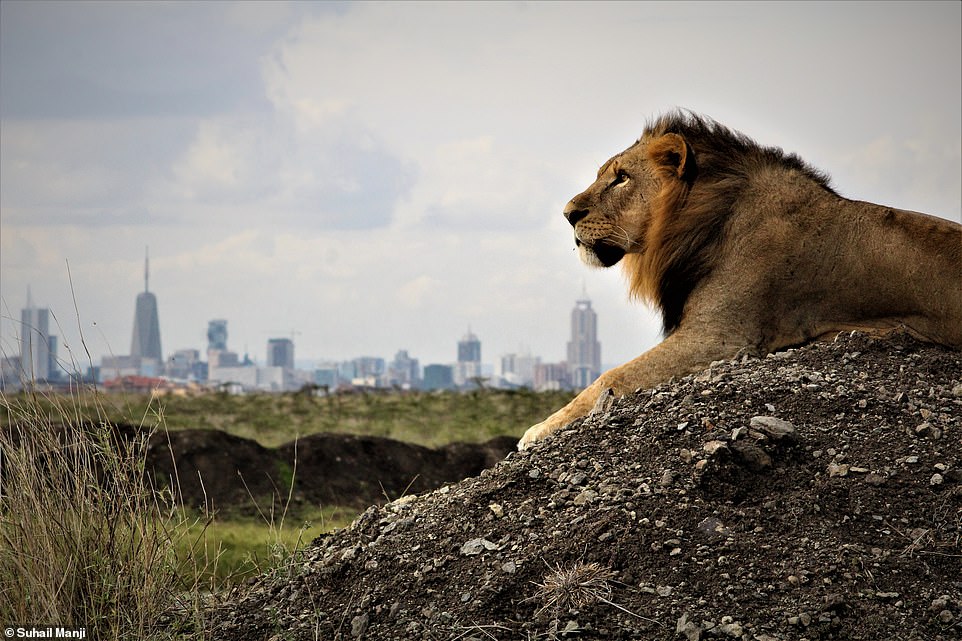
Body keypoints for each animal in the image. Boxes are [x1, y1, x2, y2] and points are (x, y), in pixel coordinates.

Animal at [520, 111, 960, 450]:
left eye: (622, 178)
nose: (567, 214)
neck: (706, 221)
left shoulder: (721, 336)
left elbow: (611, 376)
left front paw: (536, 431)